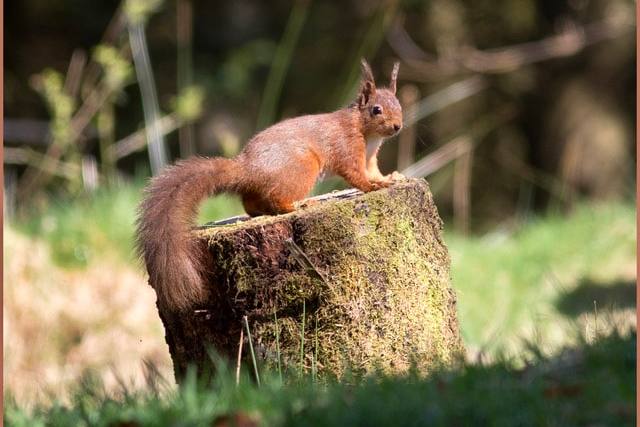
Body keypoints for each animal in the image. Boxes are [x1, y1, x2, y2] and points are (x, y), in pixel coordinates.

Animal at [137, 59, 404, 312]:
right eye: (376, 110)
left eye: (399, 105)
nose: (398, 126)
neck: (364, 130)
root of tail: (249, 169)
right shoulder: (347, 148)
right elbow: (355, 174)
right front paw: (370, 187)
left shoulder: (370, 157)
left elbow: (374, 171)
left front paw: (389, 178)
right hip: (303, 167)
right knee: (277, 198)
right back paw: (298, 205)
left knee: (251, 203)